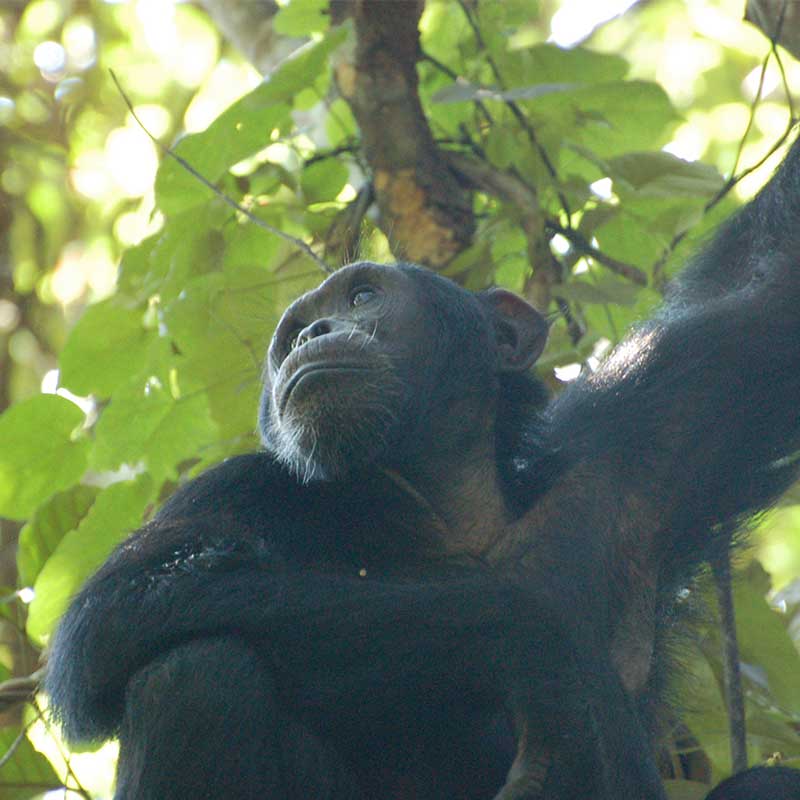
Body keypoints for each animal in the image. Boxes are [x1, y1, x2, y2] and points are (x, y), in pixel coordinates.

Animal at [45, 133, 800, 800]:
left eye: (361, 297)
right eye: (290, 335)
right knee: (192, 676)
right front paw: (544, 652)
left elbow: (768, 288)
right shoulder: (233, 487)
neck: (447, 505)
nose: (312, 332)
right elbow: (113, 613)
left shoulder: (650, 427)